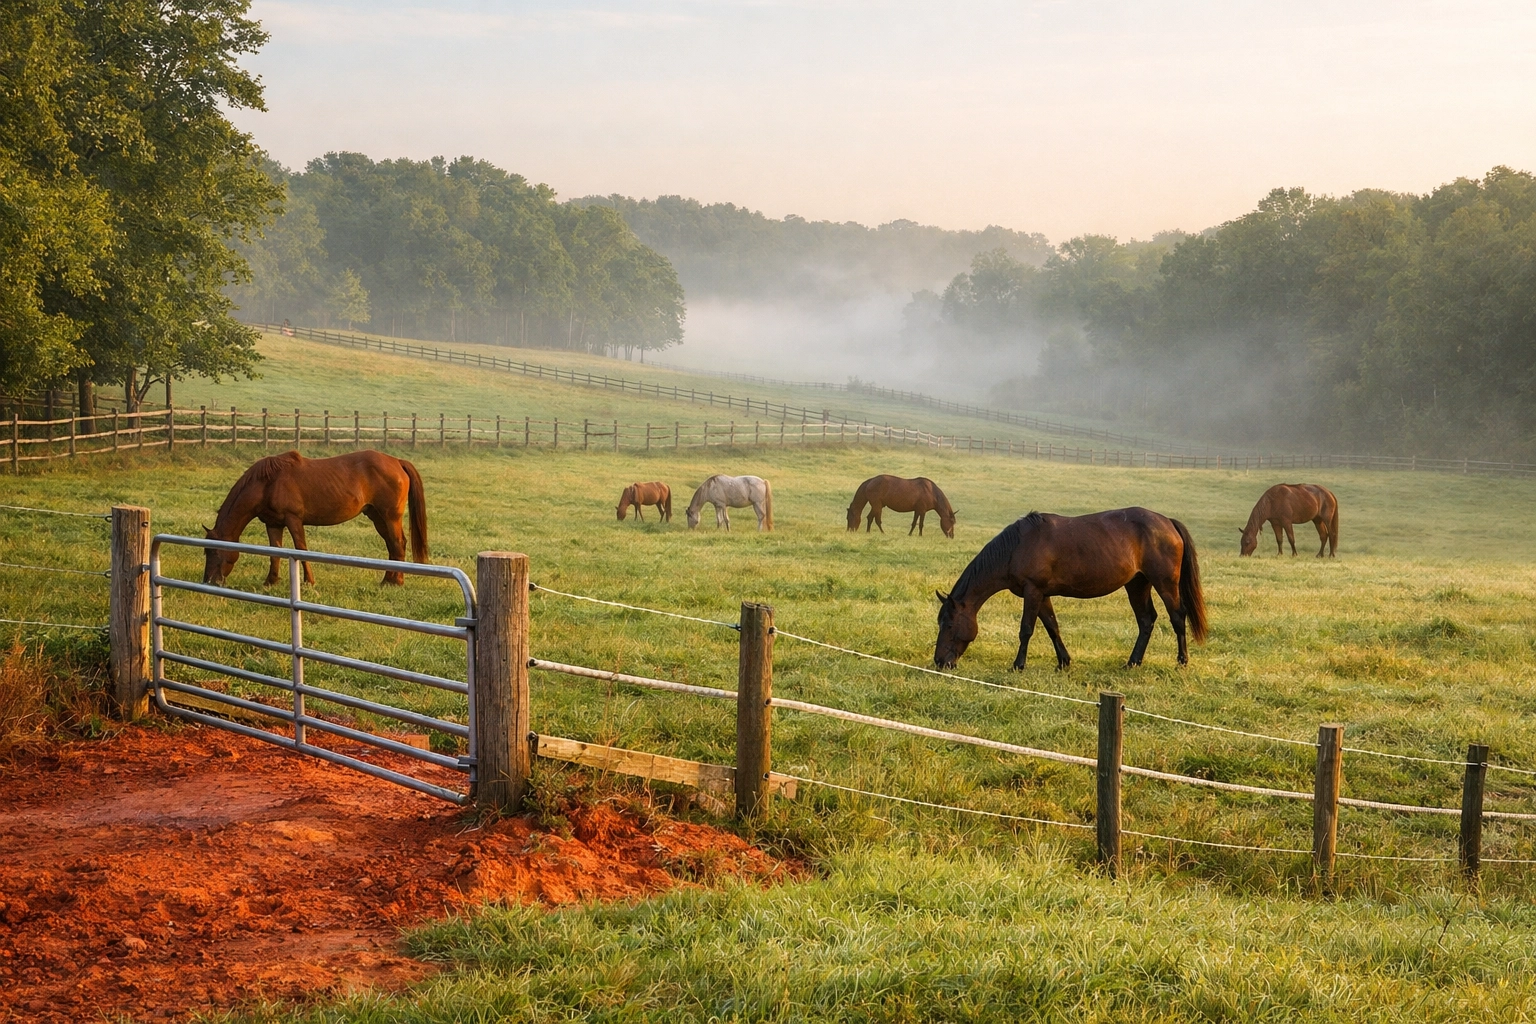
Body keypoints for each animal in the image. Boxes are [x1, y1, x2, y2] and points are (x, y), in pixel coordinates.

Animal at [202, 449, 428, 587]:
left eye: (214, 551)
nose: (208, 581)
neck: (268, 483)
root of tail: (397, 462)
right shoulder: (273, 524)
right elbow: (274, 552)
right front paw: (270, 582)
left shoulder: (294, 520)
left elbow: (301, 549)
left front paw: (309, 582)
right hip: (377, 517)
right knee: (392, 545)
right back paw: (388, 579)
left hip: (390, 517)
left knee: (398, 544)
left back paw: (395, 582)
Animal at [934, 508, 1206, 671]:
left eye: (949, 625)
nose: (939, 661)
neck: (1017, 547)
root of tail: (1168, 522)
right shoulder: (1042, 595)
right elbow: (1052, 627)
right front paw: (1063, 662)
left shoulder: (1033, 592)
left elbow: (1026, 630)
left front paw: (1018, 665)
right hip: (1137, 585)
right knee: (1146, 620)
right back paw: (1132, 662)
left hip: (1165, 584)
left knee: (1177, 617)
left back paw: (1182, 661)